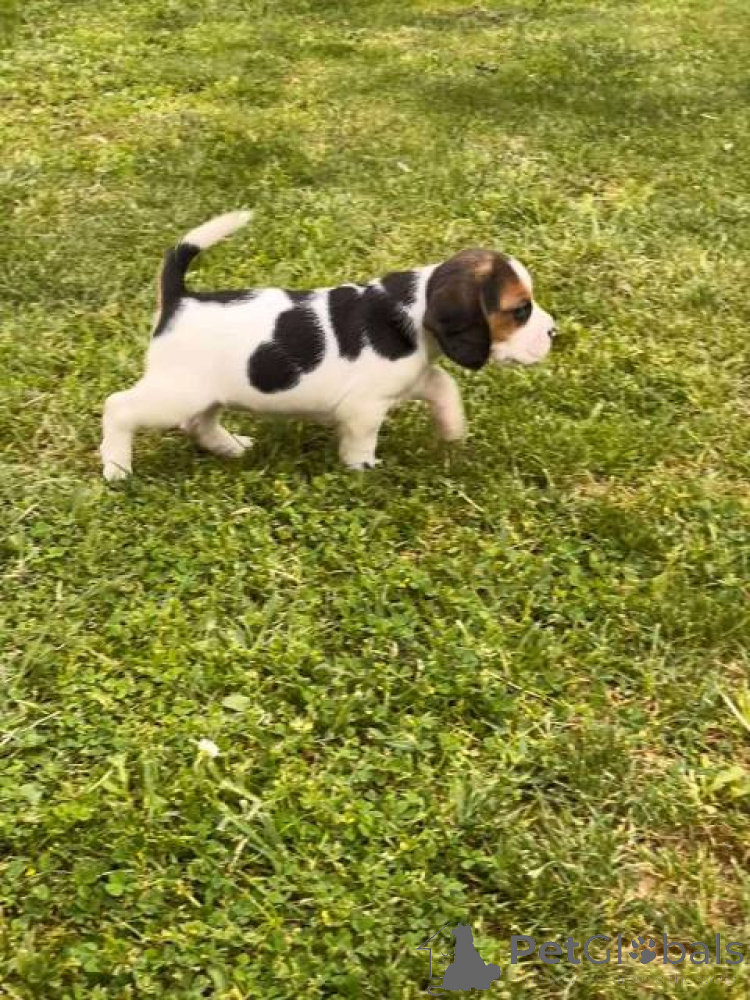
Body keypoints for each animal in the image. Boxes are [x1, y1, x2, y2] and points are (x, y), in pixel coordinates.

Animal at [100, 211, 556, 480]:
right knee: (119, 407)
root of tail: (180, 299)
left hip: (207, 394)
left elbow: (445, 386)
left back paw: (231, 448)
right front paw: (364, 469)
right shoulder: (366, 406)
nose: (554, 332)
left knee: (200, 423)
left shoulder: (414, 378)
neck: (416, 306)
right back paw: (117, 466)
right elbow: (362, 439)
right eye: (520, 310)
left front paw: (453, 432)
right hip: (175, 392)